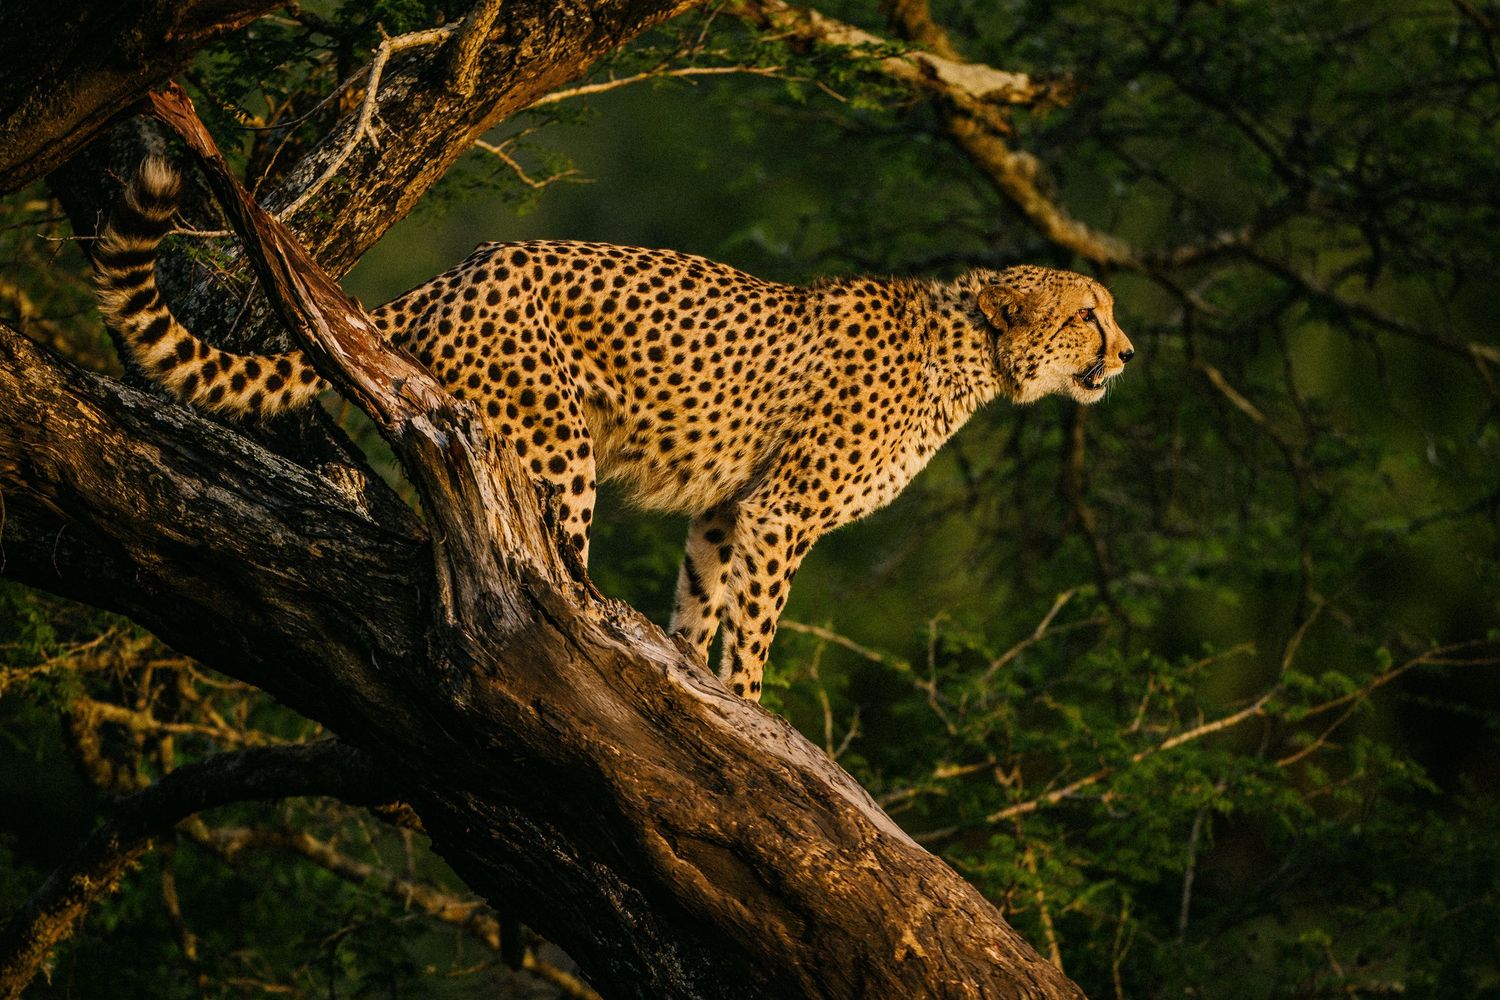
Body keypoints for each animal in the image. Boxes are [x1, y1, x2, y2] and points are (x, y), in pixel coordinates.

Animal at [93, 158, 1134, 702]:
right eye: (1089, 314)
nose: (1124, 354)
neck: (974, 351)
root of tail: (462, 268)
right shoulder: (784, 513)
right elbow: (755, 629)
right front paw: (750, 710)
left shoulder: (730, 508)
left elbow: (703, 602)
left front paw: (695, 683)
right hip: (558, 446)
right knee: (541, 578)